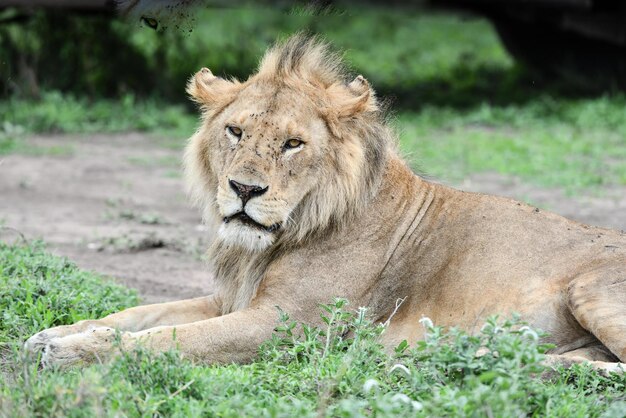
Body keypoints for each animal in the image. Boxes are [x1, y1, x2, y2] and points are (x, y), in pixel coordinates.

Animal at [24, 35, 624, 372]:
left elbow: (168, 338)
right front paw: (56, 334)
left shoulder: (286, 325)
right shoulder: (233, 299)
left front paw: (78, 353)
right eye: (236, 132)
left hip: (591, 290)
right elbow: (142, 314)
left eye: (293, 144)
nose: (244, 191)